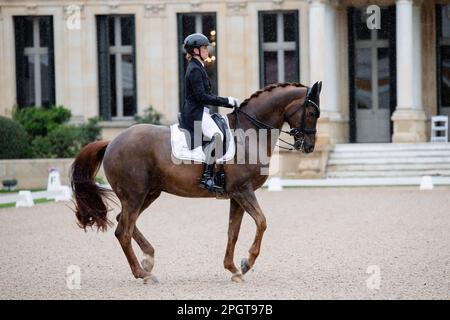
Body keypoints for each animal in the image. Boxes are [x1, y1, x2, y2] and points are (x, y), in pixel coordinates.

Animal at [70, 80, 322, 282]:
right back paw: (144, 274)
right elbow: (262, 222)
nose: (309, 147)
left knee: (124, 223)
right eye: (312, 113)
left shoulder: (236, 195)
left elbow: (233, 232)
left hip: (149, 193)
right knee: (123, 231)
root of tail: (112, 141)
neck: (249, 133)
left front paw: (233, 269)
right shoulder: (243, 191)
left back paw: (148, 259)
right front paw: (246, 262)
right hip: (135, 195)